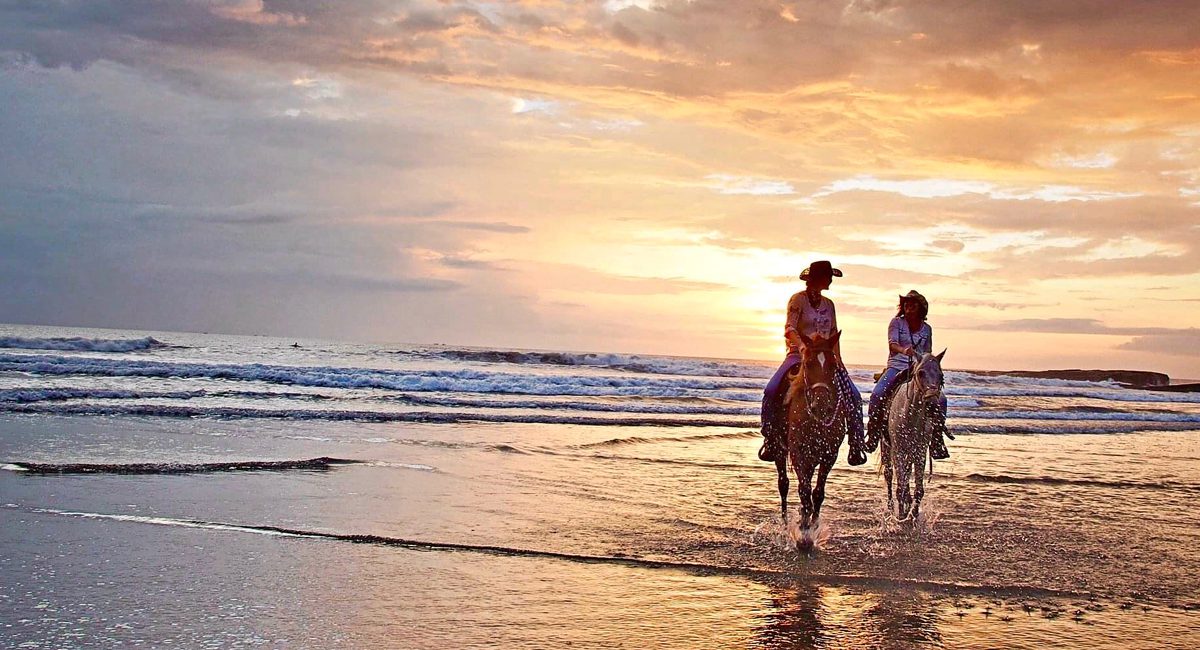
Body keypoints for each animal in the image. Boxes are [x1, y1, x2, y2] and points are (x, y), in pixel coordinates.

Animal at [772, 330, 849, 539]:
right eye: (807, 364)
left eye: (834, 365)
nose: (821, 404)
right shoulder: (798, 453)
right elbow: (804, 490)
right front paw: (803, 534)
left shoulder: (829, 455)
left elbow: (818, 492)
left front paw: (812, 525)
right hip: (779, 450)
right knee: (783, 483)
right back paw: (785, 522)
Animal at [883, 352, 945, 525]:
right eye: (920, 373)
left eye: (941, 376)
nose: (932, 405)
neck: (911, 416)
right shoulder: (898, 451)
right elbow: (901, 487)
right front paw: (901, 516)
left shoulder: (920, 452)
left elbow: (918, 489)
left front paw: (914, 516)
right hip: (887, 448)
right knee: (889, 476)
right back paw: (891, 509)